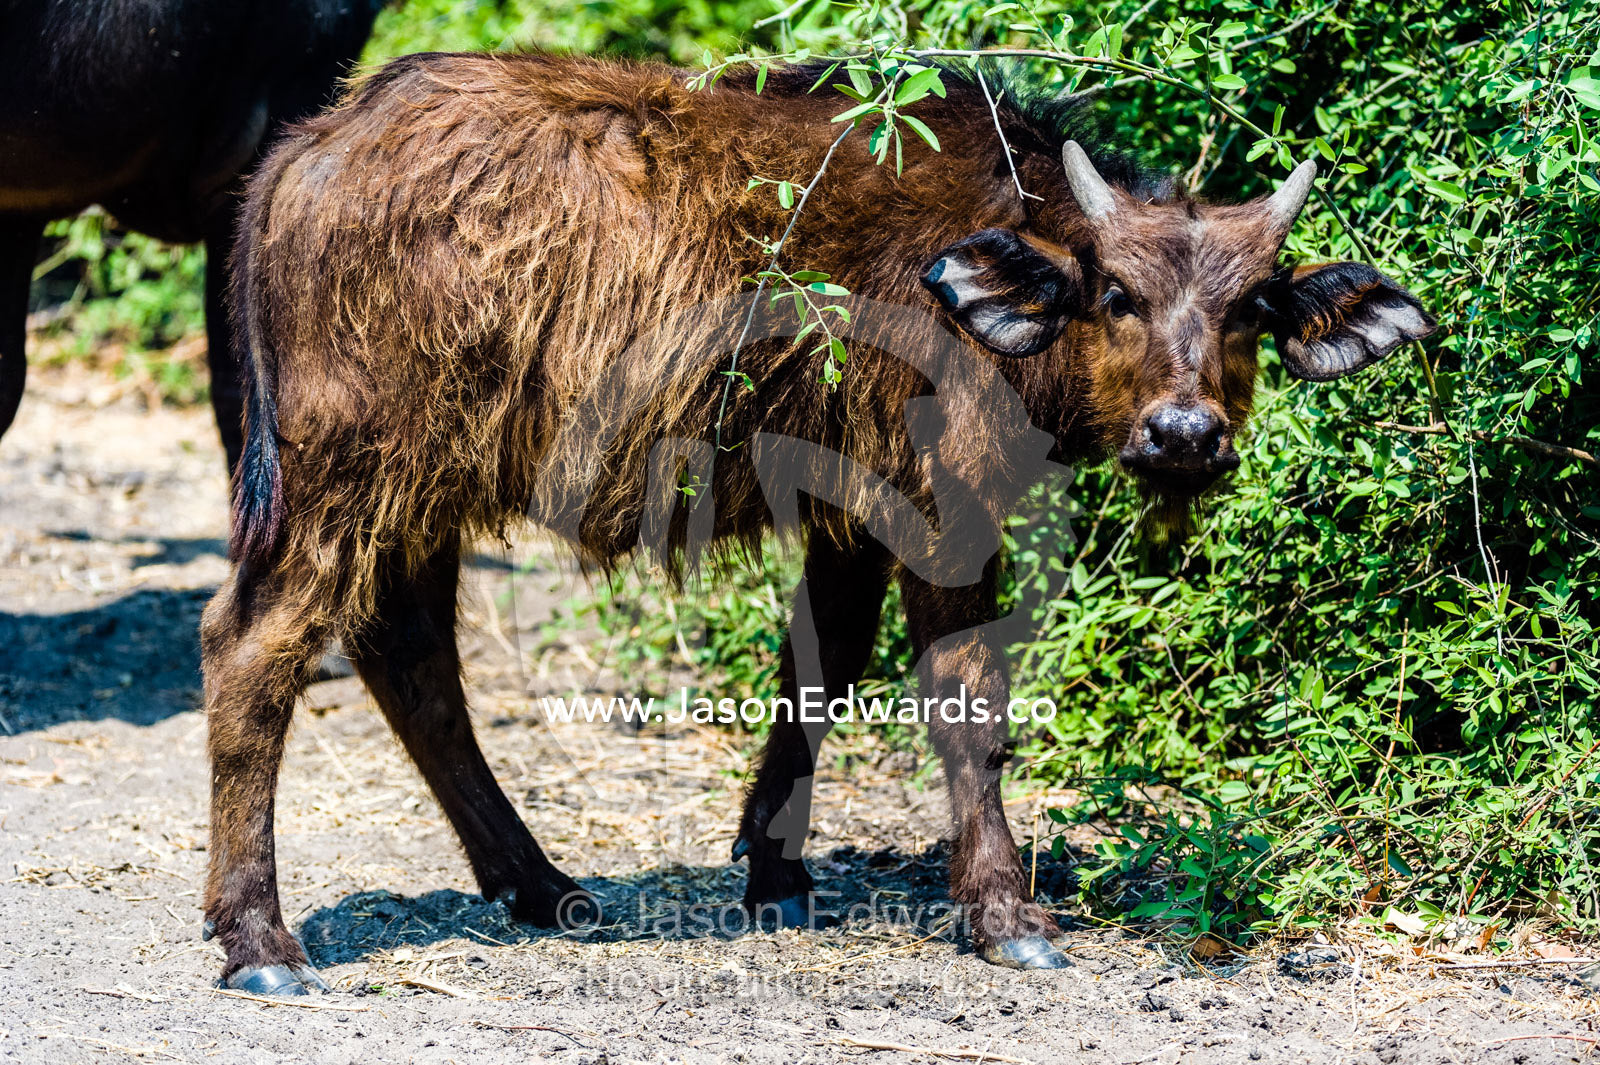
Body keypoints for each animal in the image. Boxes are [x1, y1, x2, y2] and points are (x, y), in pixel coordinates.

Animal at [199, 51, 1435, 994]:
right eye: (1117, 294)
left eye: (1251, 308)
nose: (1183, 435)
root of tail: (313, 146)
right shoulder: (946, 505)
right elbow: (963, 702)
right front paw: (1003, 912)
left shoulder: (850, 511)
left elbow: (820, 666)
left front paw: (774, 871)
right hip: (349, 473)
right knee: (254, 650)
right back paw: (259, 939)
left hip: (418, 490)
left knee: (408, 655)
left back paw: (541, 887)